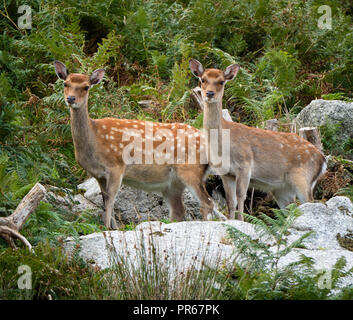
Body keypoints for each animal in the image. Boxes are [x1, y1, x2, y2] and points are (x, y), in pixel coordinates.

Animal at [53, 60, 221, 230]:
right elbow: (106, 201)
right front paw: (112, 227)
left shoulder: (116, 166)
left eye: (86, 86)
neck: (95, 140)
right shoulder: (98, 175)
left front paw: (108, 228)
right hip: (172, 183)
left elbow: (111, 199)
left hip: (191, 169)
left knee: (207, 202)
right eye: (65, 83)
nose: (71, 98)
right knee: (179, 210)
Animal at [188, 58, 326, 221]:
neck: (222, 148)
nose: (210, 93)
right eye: (203, 79)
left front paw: (241, 220)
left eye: (221, 81)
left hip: (303, 178)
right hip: (283, 189)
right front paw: (232, 220)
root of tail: (323, 159)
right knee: (291, 208)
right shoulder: (225, 173)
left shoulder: (245, 164)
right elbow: (230, 200)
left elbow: (241, 196)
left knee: (311, 202)